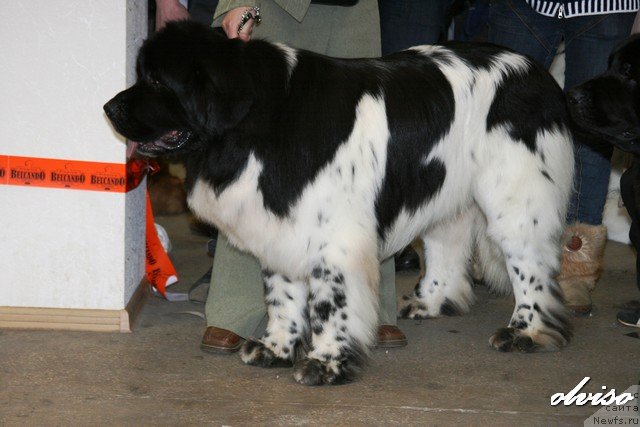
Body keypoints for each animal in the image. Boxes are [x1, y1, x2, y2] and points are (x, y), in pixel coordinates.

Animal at [104, 21, 576, 386]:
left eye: (158, 81)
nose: (108, 107)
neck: (264, 120)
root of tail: (537, 71)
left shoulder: (337, 240)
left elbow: (328, 304)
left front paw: (325, 364)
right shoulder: (283, 227)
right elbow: (281, 296)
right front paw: (276, 349)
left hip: (515, 201)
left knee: (531, 269)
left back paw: (526, 333)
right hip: (443, 186)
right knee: (447, 247)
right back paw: (431, 302)